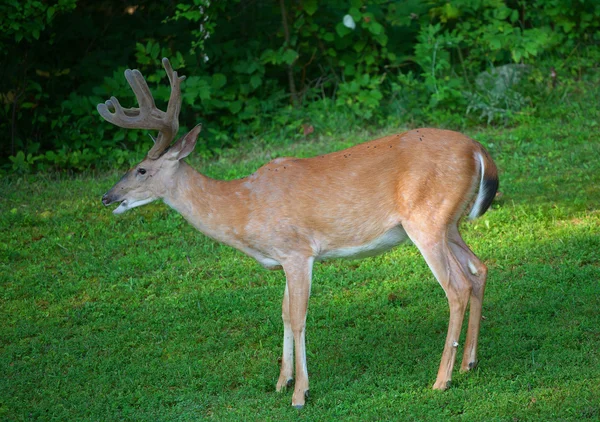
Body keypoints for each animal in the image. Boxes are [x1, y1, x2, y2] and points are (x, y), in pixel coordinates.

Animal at [101, 57, 500, 408]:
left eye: (140, 170)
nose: (108, 197)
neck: (243, 207)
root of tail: (478, 149)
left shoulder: (297, 251)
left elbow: (297, 316)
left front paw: (300, 394)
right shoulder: (283, 259)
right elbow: (282, 312)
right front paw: (282, 381)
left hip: (426, 220)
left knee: (456, 287)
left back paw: (441, 379)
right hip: (449, 222)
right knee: (479, 269)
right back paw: (469, 362)